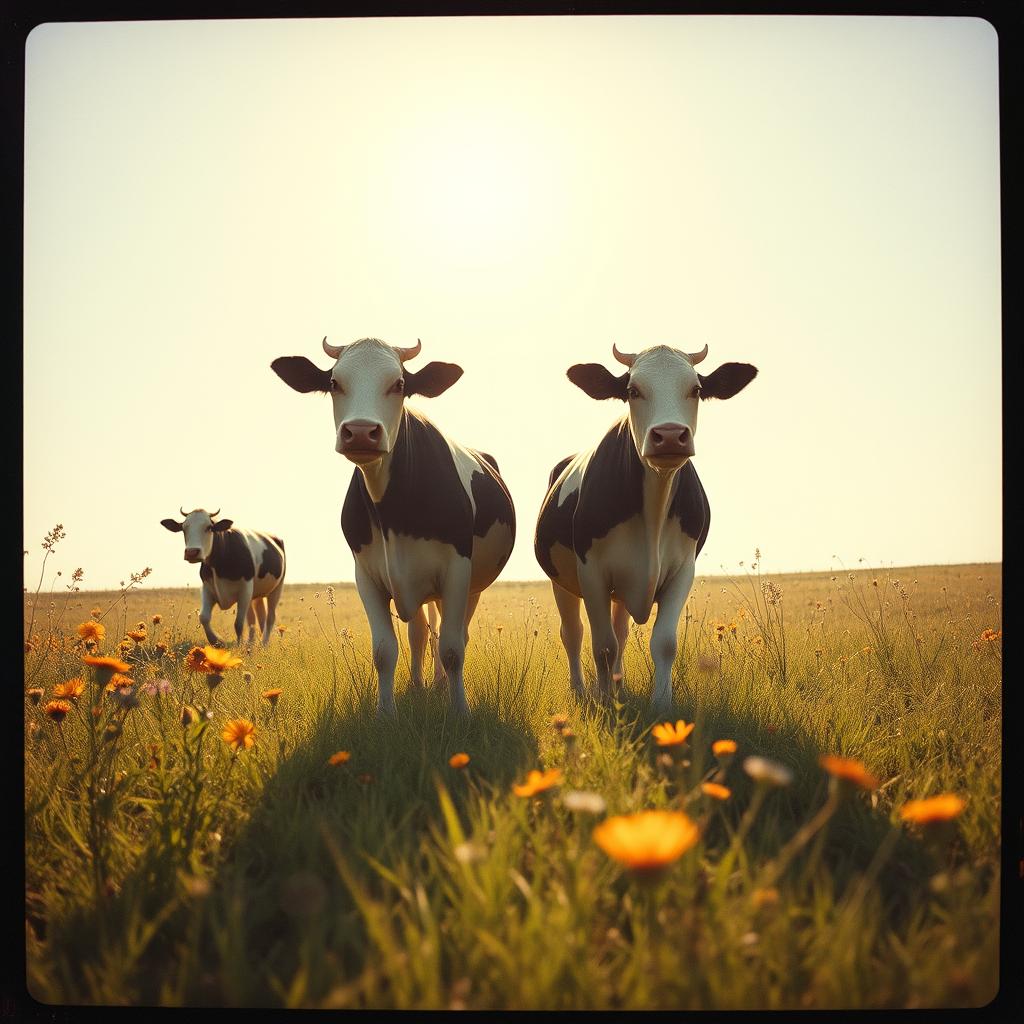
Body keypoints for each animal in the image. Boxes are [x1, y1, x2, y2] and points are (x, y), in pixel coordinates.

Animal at [160, 508, 286, 648]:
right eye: (183, 528)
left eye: (209, 527)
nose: (192, 552)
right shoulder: (207, 588)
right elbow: (203, 617)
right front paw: (217, 641)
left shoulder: (245, 589)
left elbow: (238, 623)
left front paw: (239, 647)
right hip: (256, 594)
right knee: (257, 616)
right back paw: (253, 644)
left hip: (277, 588)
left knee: (270, 617)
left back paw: (263, 643)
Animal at [271, 337, 515, 715]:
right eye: (334, 382)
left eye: (399, 384)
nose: (360, 432)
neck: (393, 514)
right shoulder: (367, 575)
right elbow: (385, 650)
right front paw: (386, 713)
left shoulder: (458, 570)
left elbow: (452, 649)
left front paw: (460, 711)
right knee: (421, 633)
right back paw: (420, 685)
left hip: (472, 584)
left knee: (451, 633)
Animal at [534, 343, 757, 711]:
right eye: (632, 391)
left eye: (696, 389)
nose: (669, 436)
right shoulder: (591, 572)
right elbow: (602, 645)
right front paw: (605, 703)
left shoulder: (683, 570)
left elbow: (663, 642)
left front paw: (661, 704)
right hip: (560, 580)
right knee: (574, 634)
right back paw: (582, 690)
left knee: (620, 631)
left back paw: (618, 688)